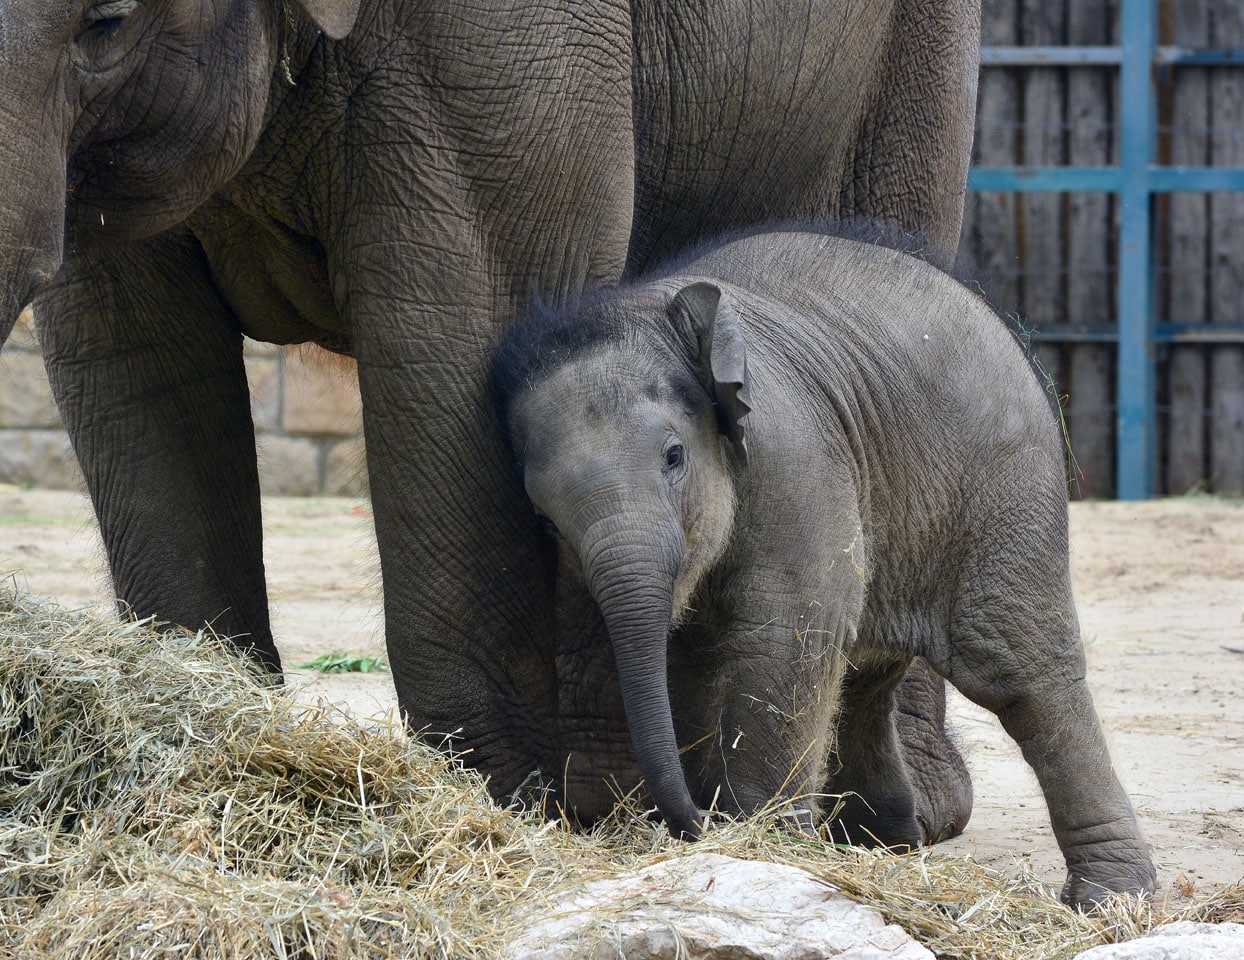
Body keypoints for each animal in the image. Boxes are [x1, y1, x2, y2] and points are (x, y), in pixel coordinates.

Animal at [0, 1, 980, 853]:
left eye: (106, 22)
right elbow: (131, 351)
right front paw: (208, 749)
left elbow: (460, 332)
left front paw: (500, 804)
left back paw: (879, 821)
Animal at [492, 227, 1157, 909]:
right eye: (545, 518)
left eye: (673, 456)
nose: (693, 826)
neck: (650, 315)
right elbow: (693, 664)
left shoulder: (794, 453)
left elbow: (786, 636)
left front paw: (766, 846)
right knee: (864, 678)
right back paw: (882, 844)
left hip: (1008, 489)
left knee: (1020, 671)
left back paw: (1110, 900)